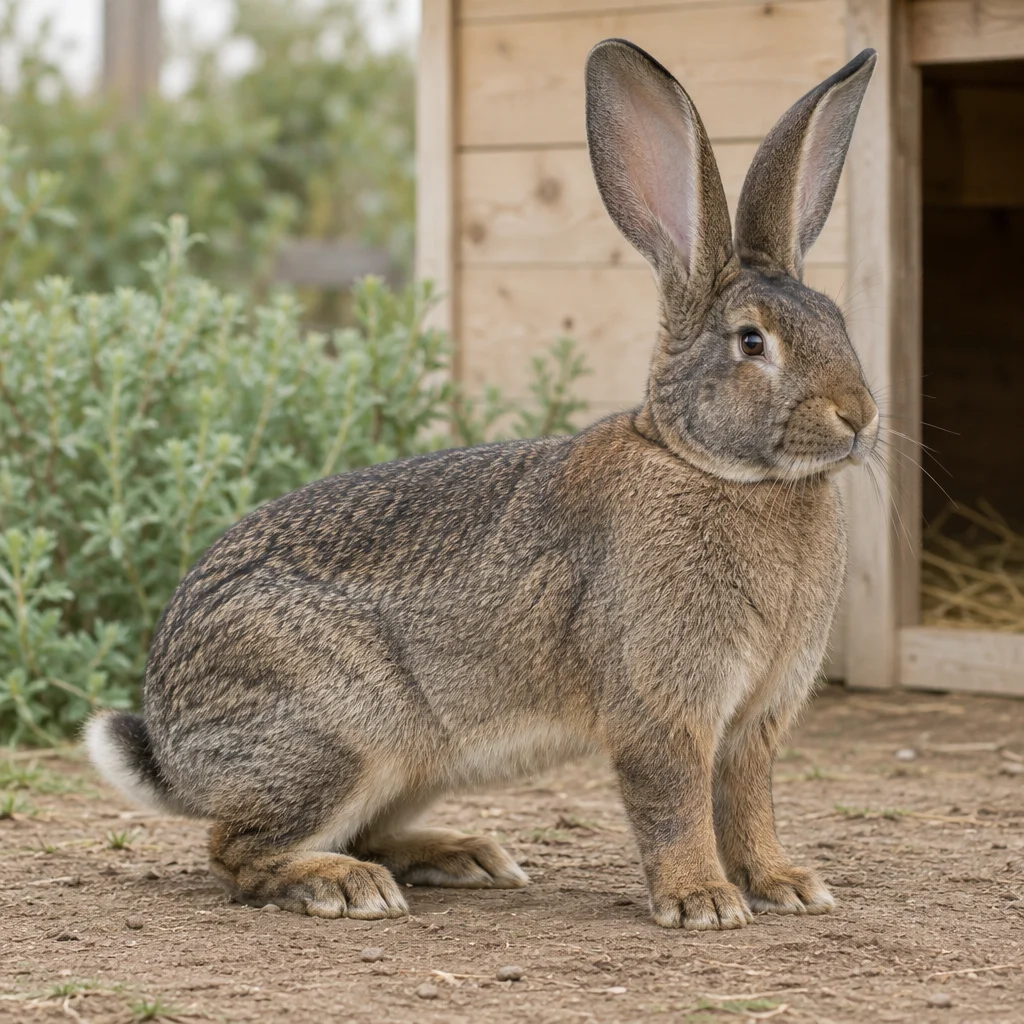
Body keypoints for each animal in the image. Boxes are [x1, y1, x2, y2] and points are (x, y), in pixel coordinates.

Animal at [86, 39, 879, 930]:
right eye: (751, 342)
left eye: (836, 321)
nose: (860, 416)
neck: (712, 465)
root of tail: (171, 745)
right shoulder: (662, 709)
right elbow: (674, 803)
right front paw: (702, 901)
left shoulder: (756, 723)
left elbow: (750, 805)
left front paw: (787, 884)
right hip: (344, 734)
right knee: (236, 851)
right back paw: (345, 886)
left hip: (412, 760)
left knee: (356, 830)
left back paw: (464, 856)